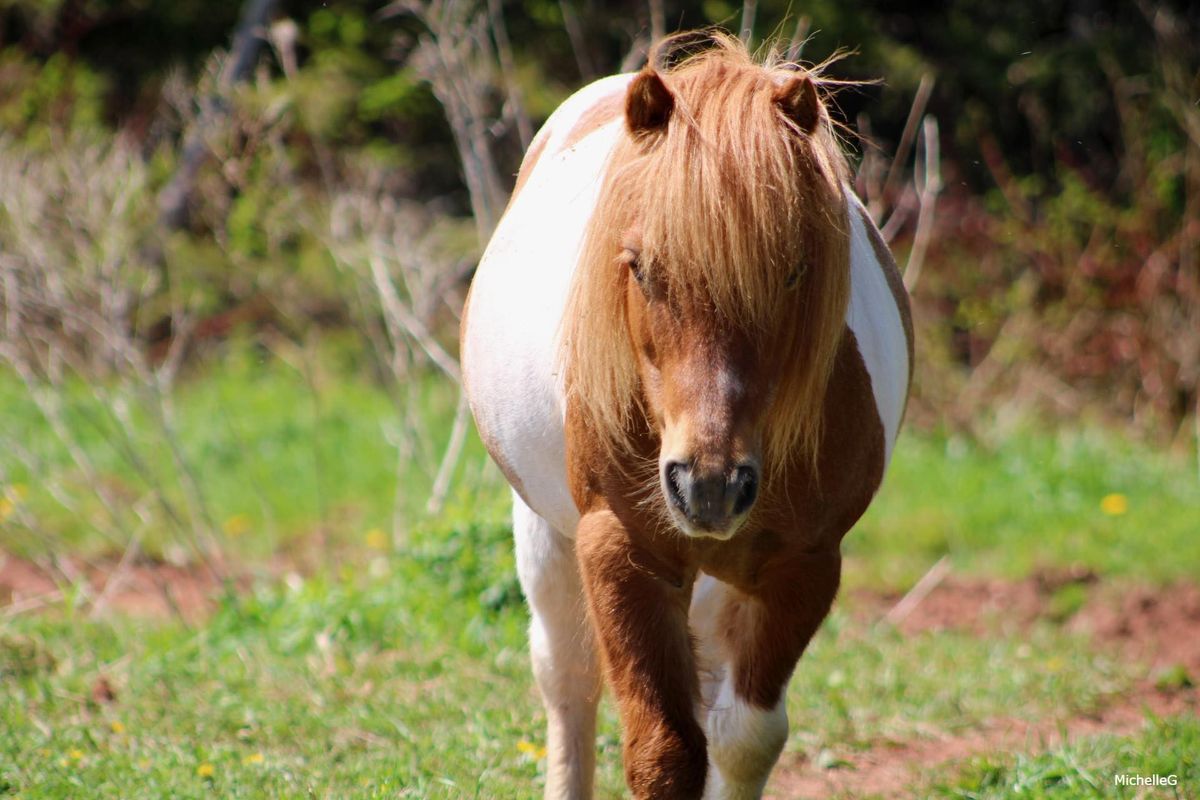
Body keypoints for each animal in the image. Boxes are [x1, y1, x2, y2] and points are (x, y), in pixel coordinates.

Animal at [458, 31, 907, 800]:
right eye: (638, 266)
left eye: (793, 272)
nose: (709, 485)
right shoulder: (619, 548)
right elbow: (664, 751)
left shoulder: (805, 564)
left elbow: (745, 738)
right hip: (545, 535)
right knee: (568, 683)